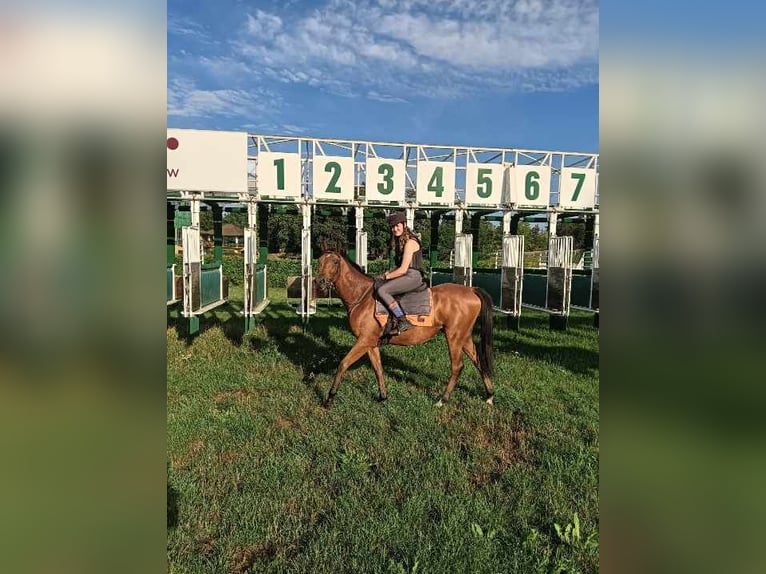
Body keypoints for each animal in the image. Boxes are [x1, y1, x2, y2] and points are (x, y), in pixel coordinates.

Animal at [316, 252, 498, 410]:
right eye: (319, 261)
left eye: (335, 262)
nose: (320, 282)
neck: (362, 297)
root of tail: (471, 289)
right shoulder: (371, 343)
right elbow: (378, 368)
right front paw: (383, 397)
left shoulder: (364, 341)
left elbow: (343, 364)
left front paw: (329, 399)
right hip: (464, 337)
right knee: (478, 361)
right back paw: (489, 395)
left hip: (454, 336)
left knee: (457, 366)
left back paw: (443, 399)